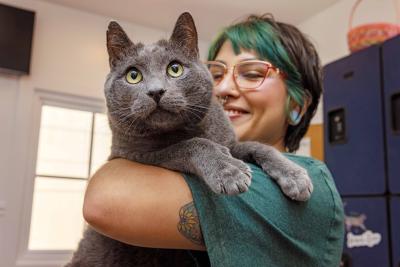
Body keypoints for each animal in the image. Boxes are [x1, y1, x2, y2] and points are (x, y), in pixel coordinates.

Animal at [66, 12, 312, 267]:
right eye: (133, 75)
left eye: (175, 69)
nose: (156, 91)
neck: (187, 129)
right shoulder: (137, 155)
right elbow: (191, 145)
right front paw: (229, 172)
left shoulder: (230, 143)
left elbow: (259, 146)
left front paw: (295, 177)